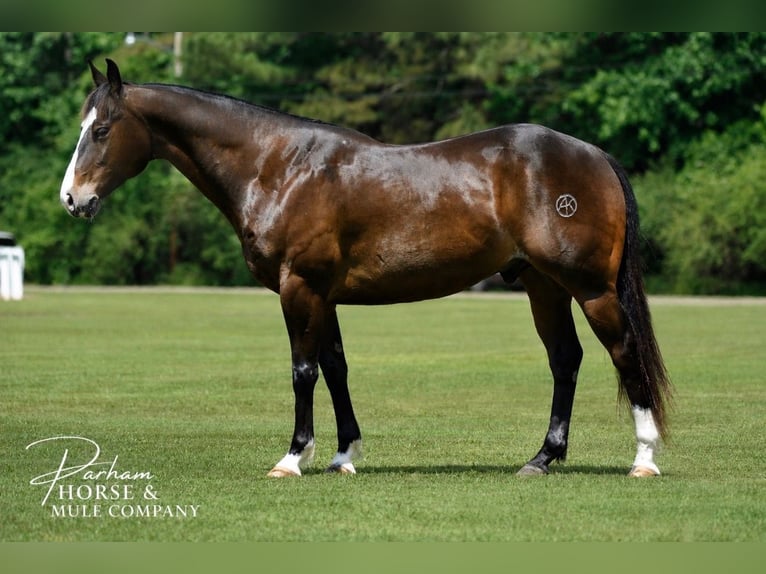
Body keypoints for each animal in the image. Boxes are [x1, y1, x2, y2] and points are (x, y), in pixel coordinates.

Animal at [60, 59, 672, 478]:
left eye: (102, 129)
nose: (71, 199)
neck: (278, 166)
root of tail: (594, 154)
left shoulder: (299, 288)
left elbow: (303, 370)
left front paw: (293, 458)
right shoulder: (322, 294)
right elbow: (336, 367)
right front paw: (342, 454)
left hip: (591, 289)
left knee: (623, 352)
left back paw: (643, 458)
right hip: (544, 287)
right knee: (565, 359)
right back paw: (543, 457)